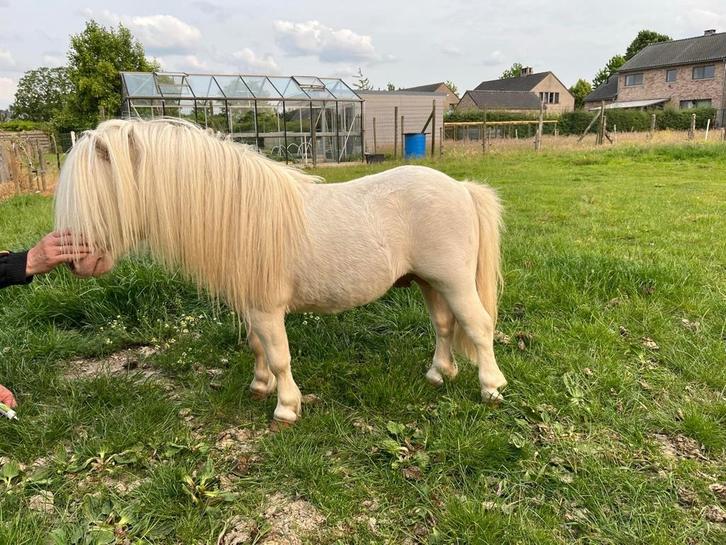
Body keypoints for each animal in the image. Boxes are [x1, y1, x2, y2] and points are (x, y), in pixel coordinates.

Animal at [55, 118, 507, 424]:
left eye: (101, 194)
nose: (79, 261)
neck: (239, 212)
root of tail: (461, 188)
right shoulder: (252, 307)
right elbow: (258, 348)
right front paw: (260, 387)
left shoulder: (268, 309)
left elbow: (279, 356)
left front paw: (287, 407)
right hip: (430, 282)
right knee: (445, 326)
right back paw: (438, 374)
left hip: (454, 281)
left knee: (478, 326)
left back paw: (491, 387)